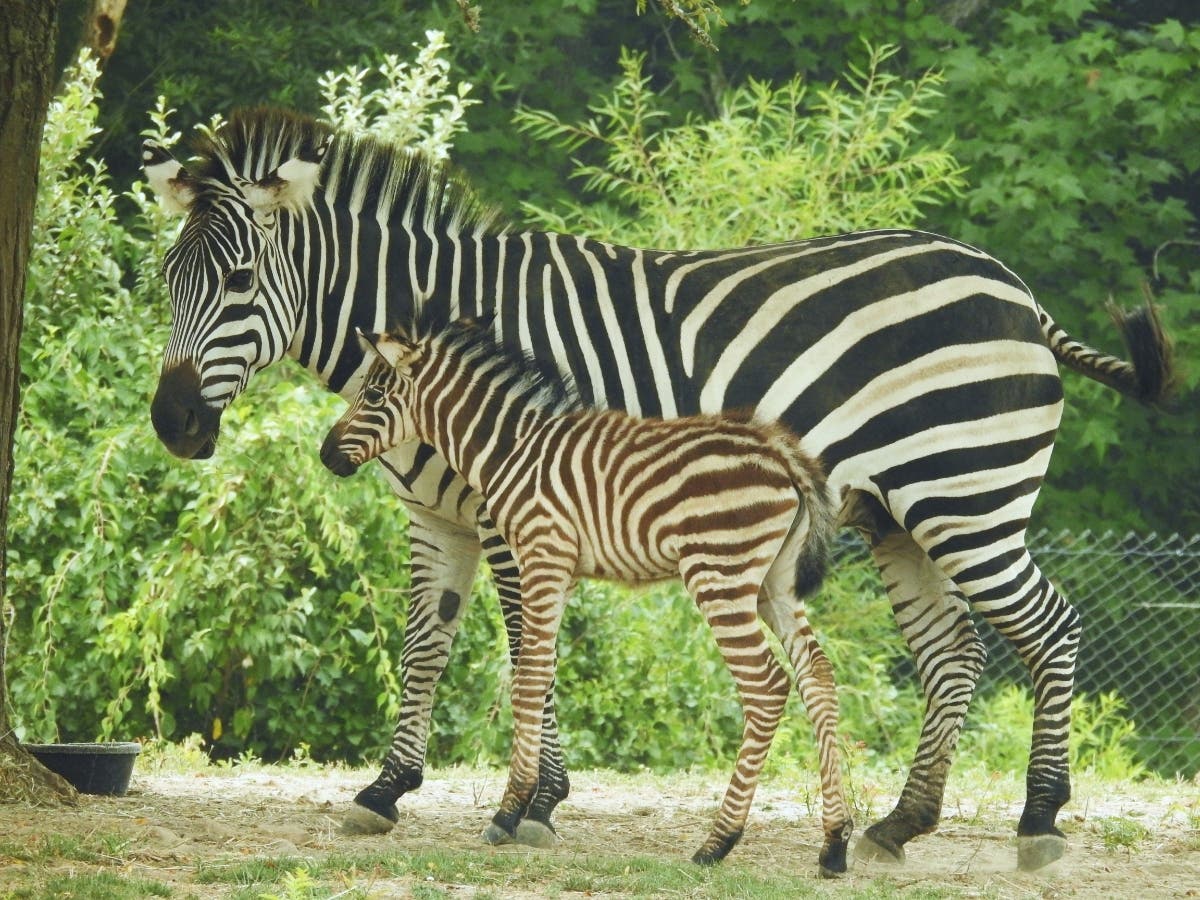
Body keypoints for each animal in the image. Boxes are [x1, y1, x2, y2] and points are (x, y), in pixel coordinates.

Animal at [319, 319, 850, 871]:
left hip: (719, 575)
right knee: (817, 674)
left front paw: (508, 814)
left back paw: (717, 842)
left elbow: (528, 679)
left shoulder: (542, 556)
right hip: (774, 585)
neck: (511, 448)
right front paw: (533, 805)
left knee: (766, 686)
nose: (326, 455)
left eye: (374, 396)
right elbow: (543, 674)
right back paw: (834, 843)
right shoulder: (563, 571)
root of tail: (781, 451)